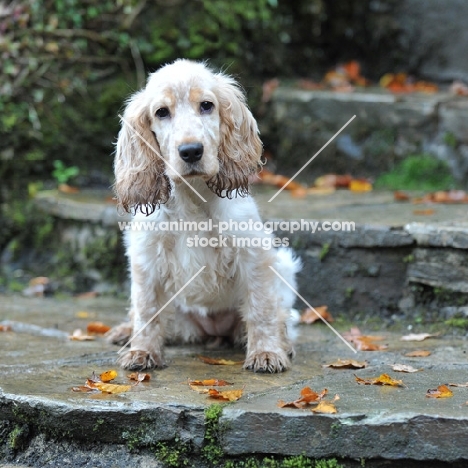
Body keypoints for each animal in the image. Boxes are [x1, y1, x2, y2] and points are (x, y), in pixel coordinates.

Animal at [107, 59, 300, 372]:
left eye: (207, 105)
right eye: (162, 112)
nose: (191, 151)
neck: (193, 196)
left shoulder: (252, 254)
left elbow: (261, 307)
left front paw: (267, 353)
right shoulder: (146, 257)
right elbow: (147, 309)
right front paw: (142, 352)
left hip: (283, 266)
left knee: (282, 316)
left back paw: (284, 343)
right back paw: (125, 332)